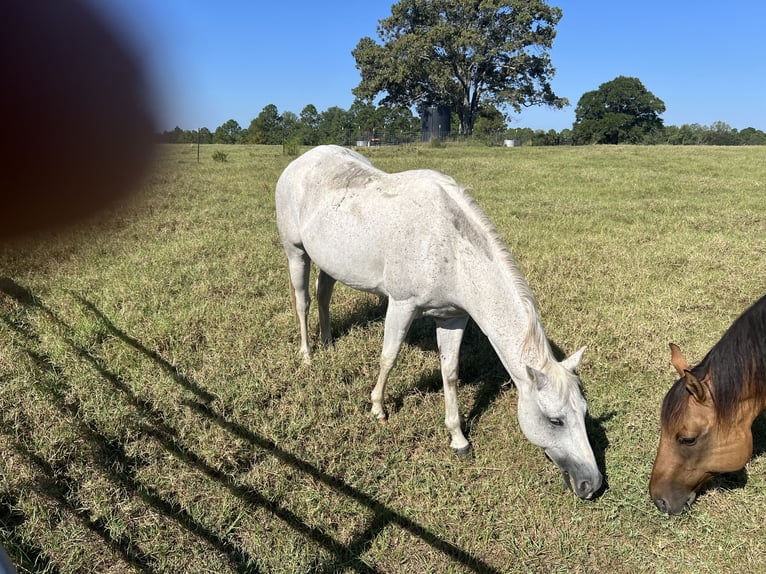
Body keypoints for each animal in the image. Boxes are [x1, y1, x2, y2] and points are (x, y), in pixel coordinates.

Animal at [275, 145, 602, 500]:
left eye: (584, 413)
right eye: (555, 421)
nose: (593, 484)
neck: (452, 248)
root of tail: (302, 160)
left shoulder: (453, 318)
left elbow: (450, 373)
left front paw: (458, 439)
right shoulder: (401, 305)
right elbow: (388, 357)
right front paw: (378, 408)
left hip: (331, 260)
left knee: (323, 294)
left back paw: (328, 342)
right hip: (296, 251)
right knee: (303, 301)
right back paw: (308, 354)